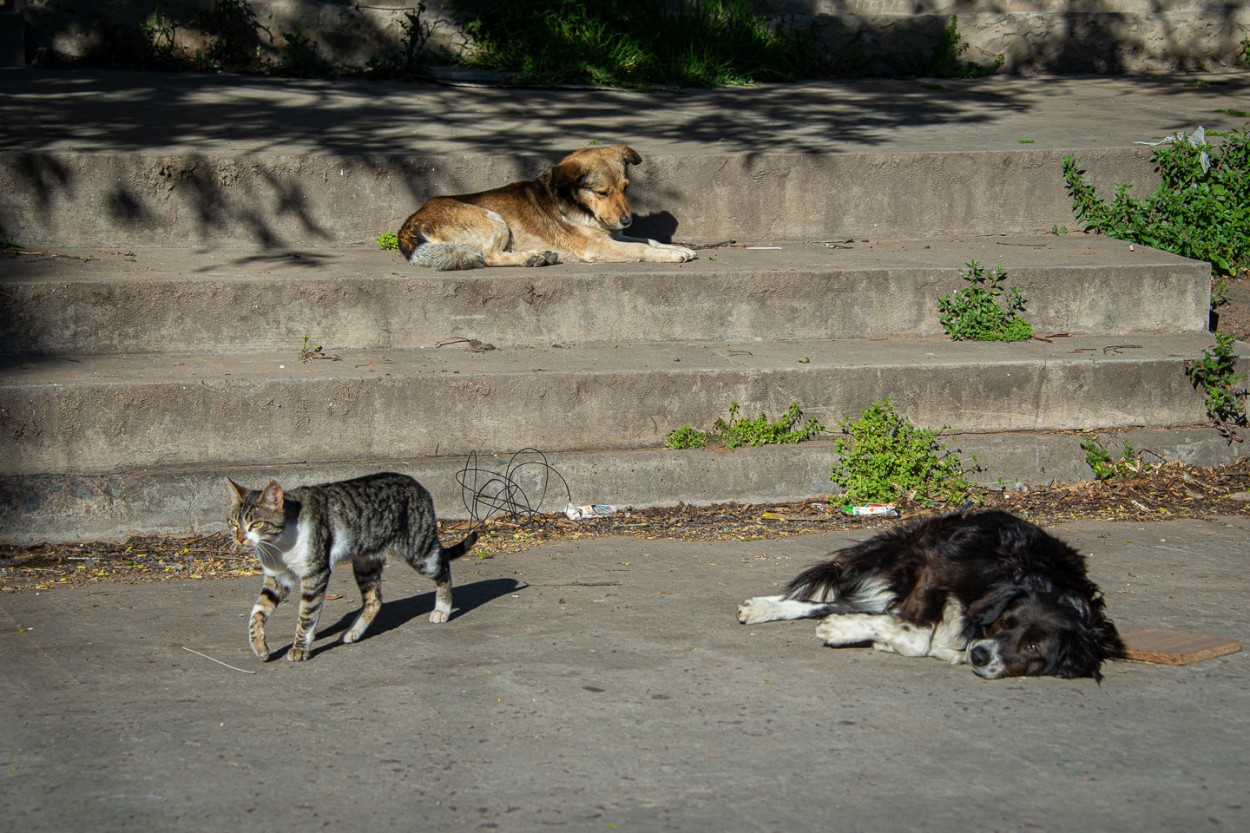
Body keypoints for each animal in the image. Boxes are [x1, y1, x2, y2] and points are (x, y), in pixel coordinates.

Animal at [225, 470, 477, 660]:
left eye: (256, 524)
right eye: (233, 522)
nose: (239, 538)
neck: (278, 545)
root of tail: (418, 485)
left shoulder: (316, 573)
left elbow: (307, 615)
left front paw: (299, 648)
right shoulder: (277, 577)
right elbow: (257, 611)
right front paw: (259, 645)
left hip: (419, 552)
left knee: (443, 566)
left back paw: (442, 609)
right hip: (365, 563)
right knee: (375, 599)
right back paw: (353, 632)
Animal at [397, 143, 700, 268]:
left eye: (626, 188)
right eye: (602, 192)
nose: (627, 220)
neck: (580, 206)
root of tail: (409, 224)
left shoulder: (615, 236)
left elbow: (649, 240)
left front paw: (677, 248)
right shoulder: (598, 246)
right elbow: (641, 248)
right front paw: (672, 255)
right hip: (492, 218)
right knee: (489, 256)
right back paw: (529, 257)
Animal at [735, 510, 1130, 680]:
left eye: (1033, 646)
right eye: (1006, 621)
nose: (982, 655)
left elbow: (918, 638)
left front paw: (867, 634)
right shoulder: (938, 569)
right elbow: (917, 637)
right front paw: (847, 631)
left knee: (831, 603)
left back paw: (763, 609)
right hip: (911, 557)